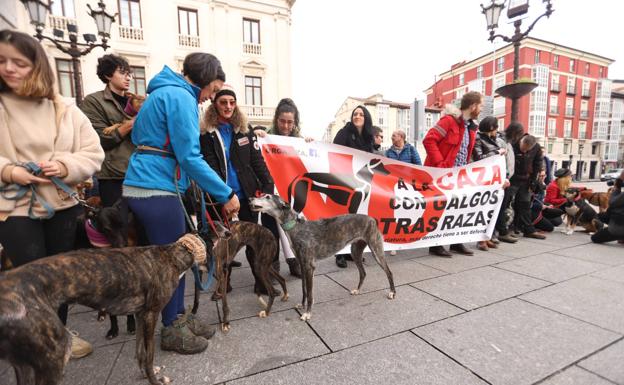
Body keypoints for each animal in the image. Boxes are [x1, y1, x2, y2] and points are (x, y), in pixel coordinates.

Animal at [0, 231, 229, 384]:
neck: (172, 255)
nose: (223, 270)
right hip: (53, 355)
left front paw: (145, 375)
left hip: (27, 363)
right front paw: (154, 380)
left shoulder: (140, 314)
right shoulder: (151, 314)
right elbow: (149, 355)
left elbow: (140, 351)